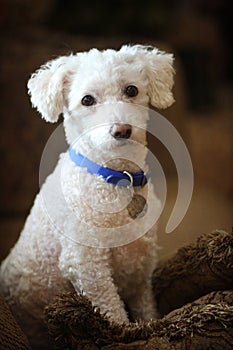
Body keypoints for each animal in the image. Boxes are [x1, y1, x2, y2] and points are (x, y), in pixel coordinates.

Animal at [0, 45, 174, 348]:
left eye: (131, 90)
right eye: (87, 100)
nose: (121, 130)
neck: (117, 179)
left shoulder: (139, 268)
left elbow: (146, 307)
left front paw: (150, 326)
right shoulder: (87, 267)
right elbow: (113, 312)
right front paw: (126, 335)